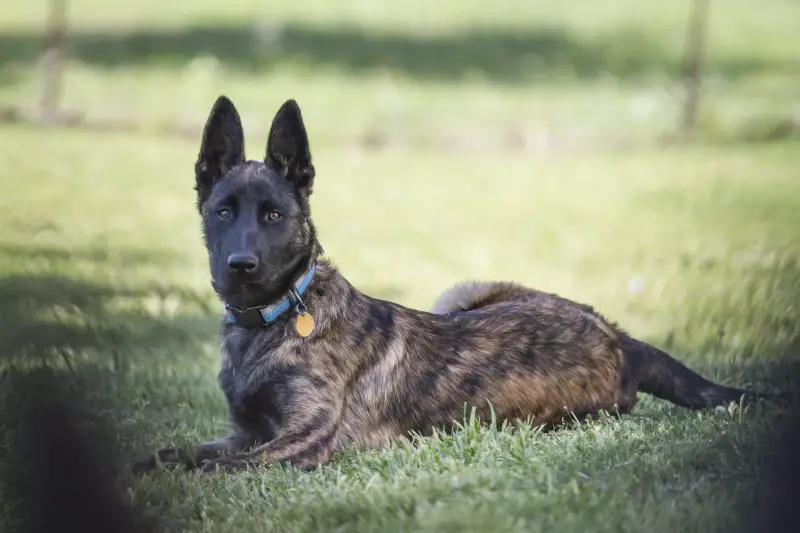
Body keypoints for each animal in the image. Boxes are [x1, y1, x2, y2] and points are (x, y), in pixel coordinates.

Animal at [131, 95, 788, 474]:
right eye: (223, 211)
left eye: (272, 215)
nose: (239, 265)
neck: (276, 317)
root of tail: (618, 337)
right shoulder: (242, 432)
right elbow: (174, 453)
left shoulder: (304, 442)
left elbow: (209, 469)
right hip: (461, 295)